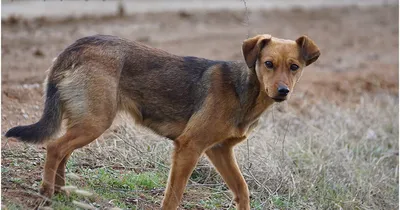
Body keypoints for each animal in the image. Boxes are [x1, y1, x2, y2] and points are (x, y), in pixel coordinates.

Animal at [4, 33, 320, 209]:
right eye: (268, 64)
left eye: (294, 67)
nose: (283, 91)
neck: (245, 90)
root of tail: (78, 45)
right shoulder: (189, 147)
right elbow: (173, 196)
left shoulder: (220, 151)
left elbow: (242, 191)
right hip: (95, 122)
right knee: (55, 148)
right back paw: (47, 194)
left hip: (85, 121)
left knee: (63, 153)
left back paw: (62, 192)